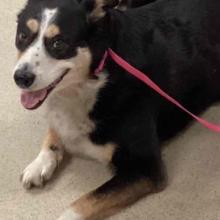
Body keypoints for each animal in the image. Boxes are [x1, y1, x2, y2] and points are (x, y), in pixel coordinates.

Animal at [13, 0, 220, 219]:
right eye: (23, 36)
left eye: (59, 43)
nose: (20, 78)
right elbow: (54, 130)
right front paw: (39, 164)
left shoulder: (145, 167)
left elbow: (80, 205)